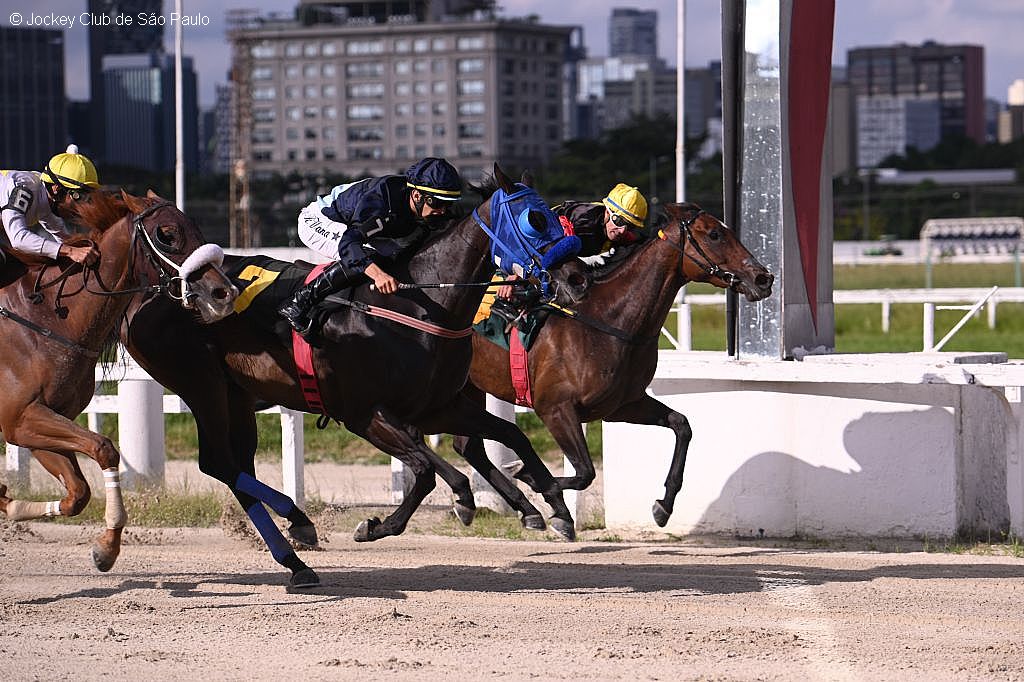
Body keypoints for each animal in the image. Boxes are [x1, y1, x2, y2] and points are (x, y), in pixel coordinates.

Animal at [1, 189, 235, 569]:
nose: (224, 293)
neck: (49, 317)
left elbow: (78, 494)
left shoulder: (37, 422)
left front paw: (11, 503)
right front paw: (108, 546)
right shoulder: (19, 417)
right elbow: (104, 448)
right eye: (167, 234)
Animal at [117, 165, 593, 585]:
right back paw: (298, 529)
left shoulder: (438, 406)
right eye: (535, 219)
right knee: (218, 462)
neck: (418, 304)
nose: (577, 278)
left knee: (236, 467)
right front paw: (377, 526)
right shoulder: (364, 414)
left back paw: (297, 549)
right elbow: (424, 472)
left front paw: (551, 504)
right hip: (201, 386)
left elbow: (511, 437)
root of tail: (150, 292)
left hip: (236, 396)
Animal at [462, 200, 770, 524]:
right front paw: (536, 481)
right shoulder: (554, 408)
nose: (764, 278)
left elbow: (681, 425)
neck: (609, 320)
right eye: (714, 234)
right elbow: (584, 472)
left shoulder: (622, 405)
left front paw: (664, 505)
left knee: (467, 447)